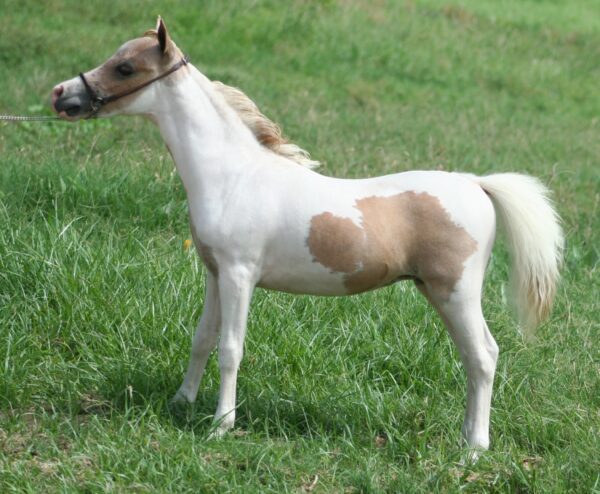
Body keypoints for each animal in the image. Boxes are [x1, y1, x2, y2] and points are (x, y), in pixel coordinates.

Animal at [51, 16, 564, 456]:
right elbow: (202, 339)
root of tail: (476, 183)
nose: (60, 94)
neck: (232, 175)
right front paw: (181, 402)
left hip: (455, 292)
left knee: (483, 356)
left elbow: (230, 349)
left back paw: (474, 448)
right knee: (474, 358)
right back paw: (465, 437)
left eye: (125, 67)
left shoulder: (239, 275)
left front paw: (221, 425)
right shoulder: (215, 273)